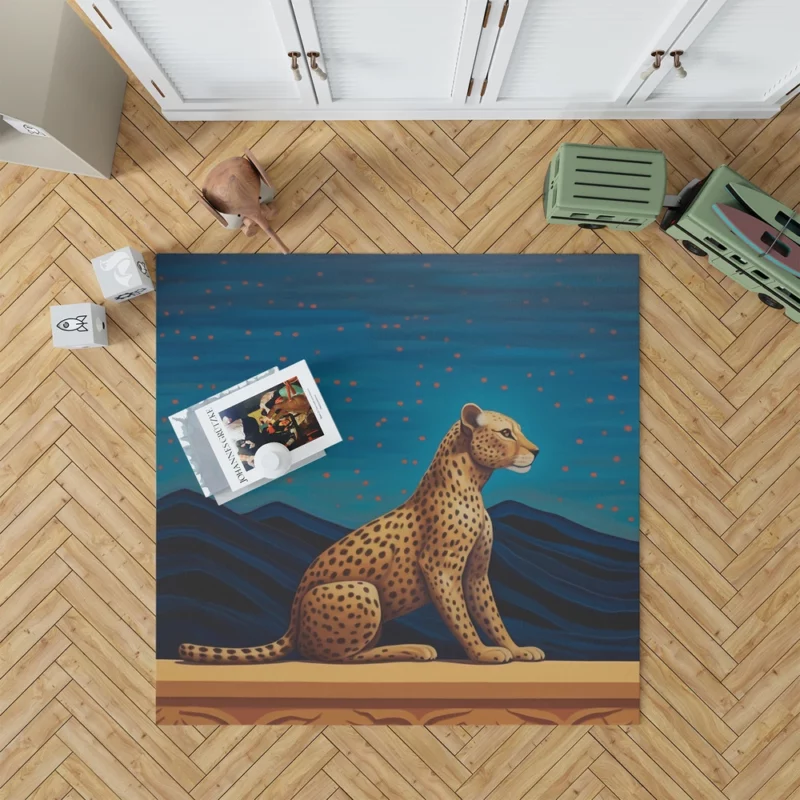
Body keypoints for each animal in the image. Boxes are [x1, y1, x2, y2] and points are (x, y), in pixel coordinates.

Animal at [179, 404, 548, 664]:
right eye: (506, 432)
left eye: (519, 430)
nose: (537, 451)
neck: (473, 482)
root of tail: (293, 619)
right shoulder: (440, 569)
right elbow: (460, 617)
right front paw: (483, 654)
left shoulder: (475, 573)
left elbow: (491, 614)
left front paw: (516, 648)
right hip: (362, 589)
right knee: (330, 655)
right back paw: (412, 649)